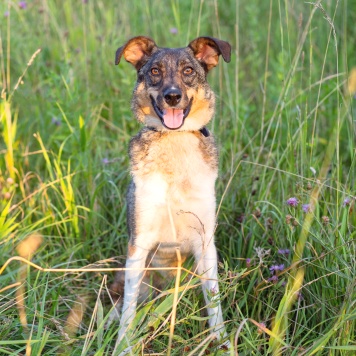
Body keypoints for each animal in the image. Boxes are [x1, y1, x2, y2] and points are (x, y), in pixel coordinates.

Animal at [110, 34, 231, 352]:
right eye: (154, 71)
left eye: (188, 70)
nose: (173, 96)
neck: (175, 144)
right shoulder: (138, 244)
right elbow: (129, 309)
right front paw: (122, 346)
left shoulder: (205, 242)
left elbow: (214, 303)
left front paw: (223, 342)